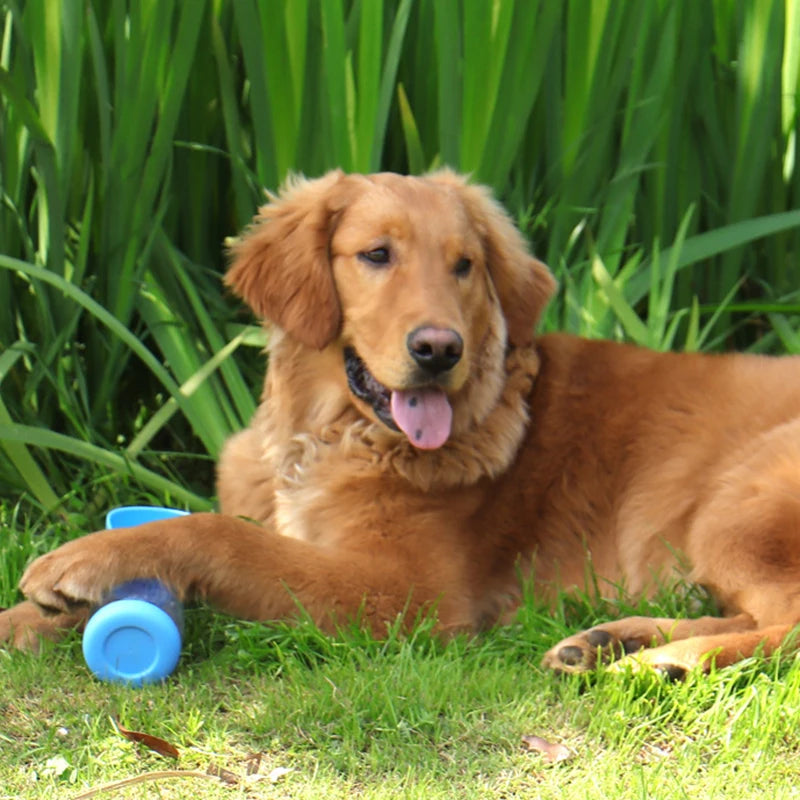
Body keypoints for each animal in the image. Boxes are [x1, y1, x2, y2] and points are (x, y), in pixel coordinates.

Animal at [4, 167, 800, 676]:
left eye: (465, 265)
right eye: (376, 255)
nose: (439, 349)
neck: (323, 437)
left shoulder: (408, 592)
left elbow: (223, 538)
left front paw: (85, 560)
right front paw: (27, 620)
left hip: (736, 508)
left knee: (785, 623)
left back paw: (665, 662)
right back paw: (611, 642)